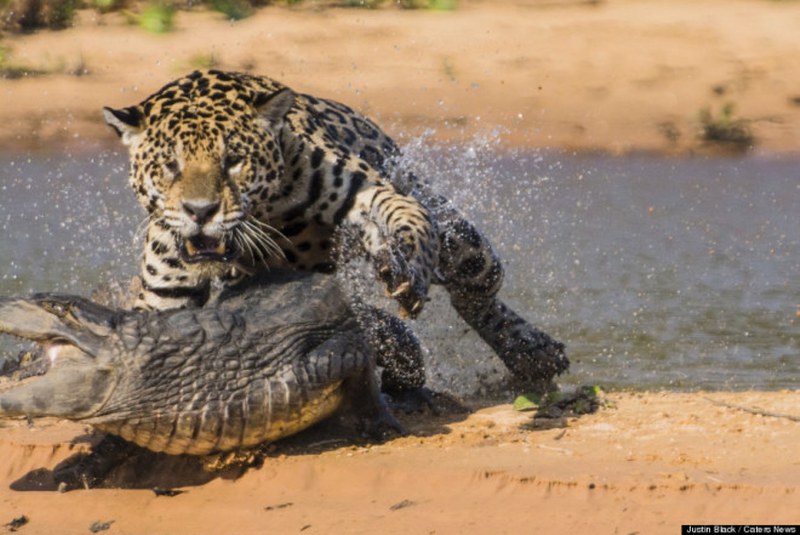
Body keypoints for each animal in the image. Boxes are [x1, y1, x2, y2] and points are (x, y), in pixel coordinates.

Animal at [103, 69, 568, 392]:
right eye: (170, 165)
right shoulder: (165, 297)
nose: (200, 211)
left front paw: (410, 274)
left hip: (461, 240)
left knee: (476, 287)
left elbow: (410, 224)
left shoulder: (369, 190)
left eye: (233, 160)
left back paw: (532, 352)